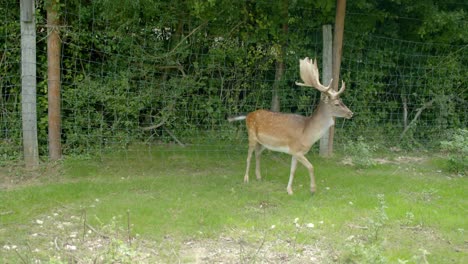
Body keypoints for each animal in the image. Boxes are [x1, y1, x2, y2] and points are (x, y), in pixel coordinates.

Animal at [229, 57, 352, 194]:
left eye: (342, 101)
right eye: (336, 104)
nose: (350, 113)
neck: (307, 133)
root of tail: (248, 115)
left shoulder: (296, 152)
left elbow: (293, 170)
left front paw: (289, 190)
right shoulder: (296, 149)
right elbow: (311, 167)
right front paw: (312, 189)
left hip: (263, 143)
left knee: (257, 153)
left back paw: (259, 177)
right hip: (251, 135)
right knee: (249, 156)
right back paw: (246, 179)